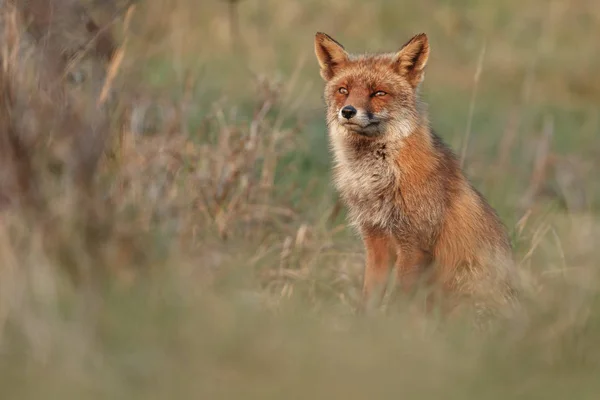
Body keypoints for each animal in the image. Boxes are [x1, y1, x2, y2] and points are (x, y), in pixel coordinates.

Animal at [316, 32, 516, 316]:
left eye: (379, 93)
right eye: (343, 90)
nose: (348, 111)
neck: (376, 178)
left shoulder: (414, 243)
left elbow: (398, 301)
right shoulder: (375, 239)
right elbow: (369, 298)